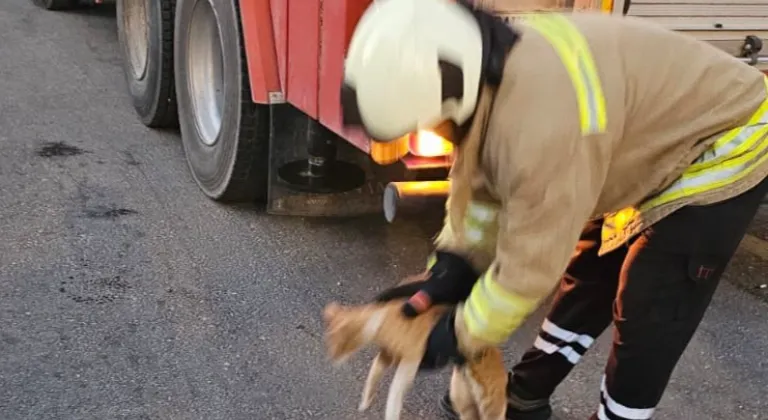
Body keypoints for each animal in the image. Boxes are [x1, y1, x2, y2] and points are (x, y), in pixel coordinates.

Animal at [320, 278, 508, 418]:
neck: (380, 319)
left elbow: (394, 395)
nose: (330, 359)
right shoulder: (386, 355)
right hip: (460, 395)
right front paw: (365, 402)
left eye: (334, 345)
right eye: (329, 345)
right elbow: (373, 377)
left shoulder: (410, 361)